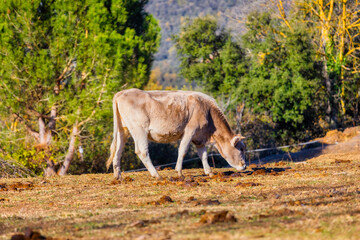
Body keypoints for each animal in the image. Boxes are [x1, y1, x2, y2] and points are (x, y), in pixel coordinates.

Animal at [107, 89, 246, 179]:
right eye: (241, 149)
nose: (244, 166)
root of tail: (122, 93)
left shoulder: (199, 138)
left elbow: (203, 155)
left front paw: (209, 172)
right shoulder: (190, 130)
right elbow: (182, 150)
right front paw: (179, 172)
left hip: (122, 130)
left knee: (118, 151)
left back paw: (118, 176)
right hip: (139, 129)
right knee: (142, 151)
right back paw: (156, 175)